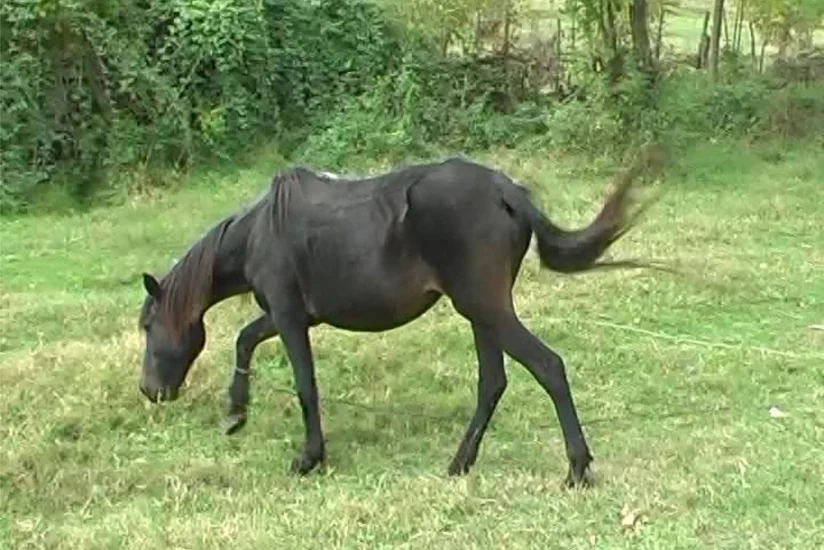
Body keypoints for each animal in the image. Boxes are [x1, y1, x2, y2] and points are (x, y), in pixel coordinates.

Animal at [138, 151, 661, 487]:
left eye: (147, 326)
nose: (149, 391)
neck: (260, 231)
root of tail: (506, 191)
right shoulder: (295, 316)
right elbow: (245, 340)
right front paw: (235, 413)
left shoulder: (288, 316)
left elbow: (305, 385)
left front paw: (308, 458)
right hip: (482, 313)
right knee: (493, 382)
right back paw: (460, 464)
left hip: (484, 307)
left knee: (548, 367)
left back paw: (576, 469)